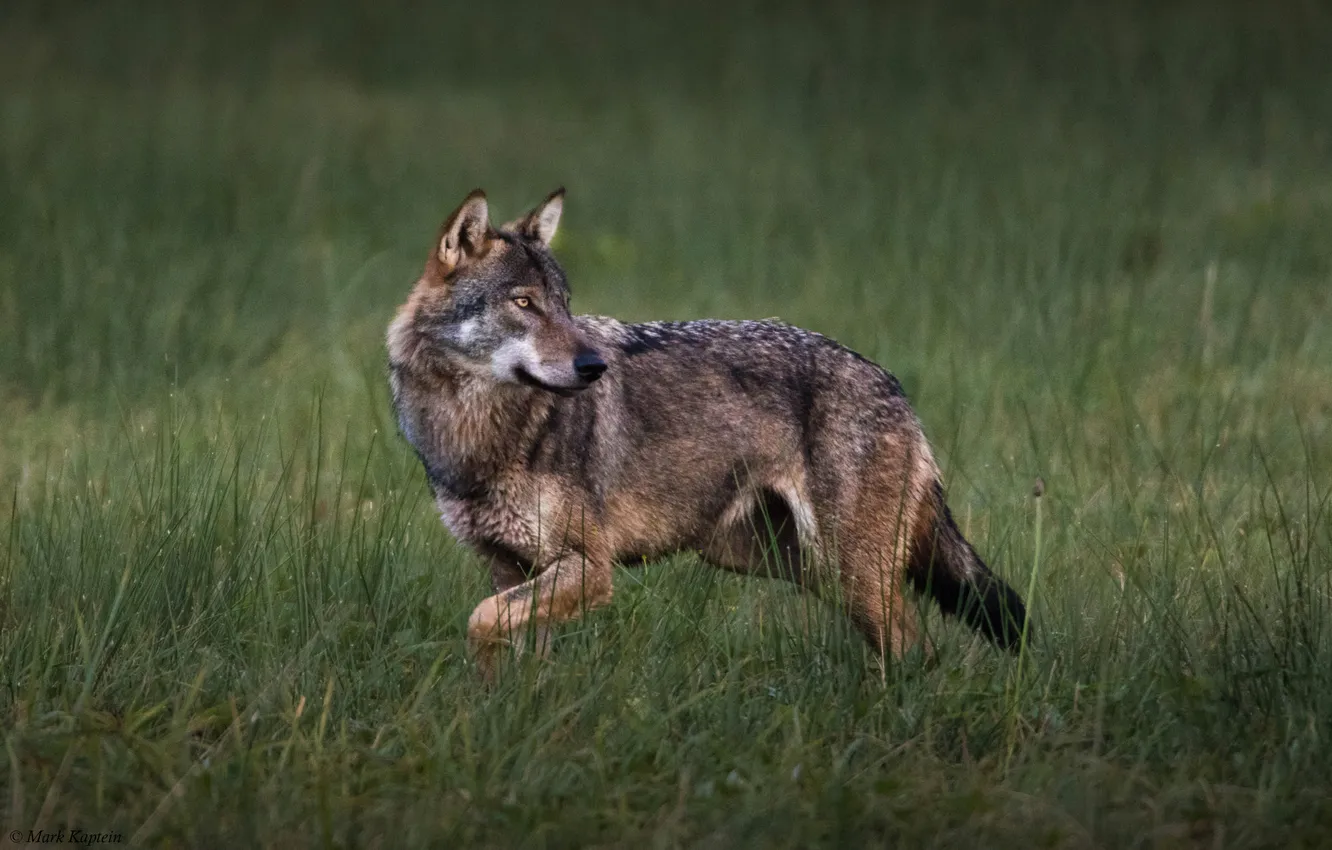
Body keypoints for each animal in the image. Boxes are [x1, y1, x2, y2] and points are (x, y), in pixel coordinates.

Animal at [388, 188, 1028, 678]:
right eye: (523, 303)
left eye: (565, 306)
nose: (595, 367)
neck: (476, 433)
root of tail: (894, 384)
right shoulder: (511, 568)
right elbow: (504, 642)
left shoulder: (590, 568)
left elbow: (480, 620)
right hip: (794, 566)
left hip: (847, 571)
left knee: (919, 651)